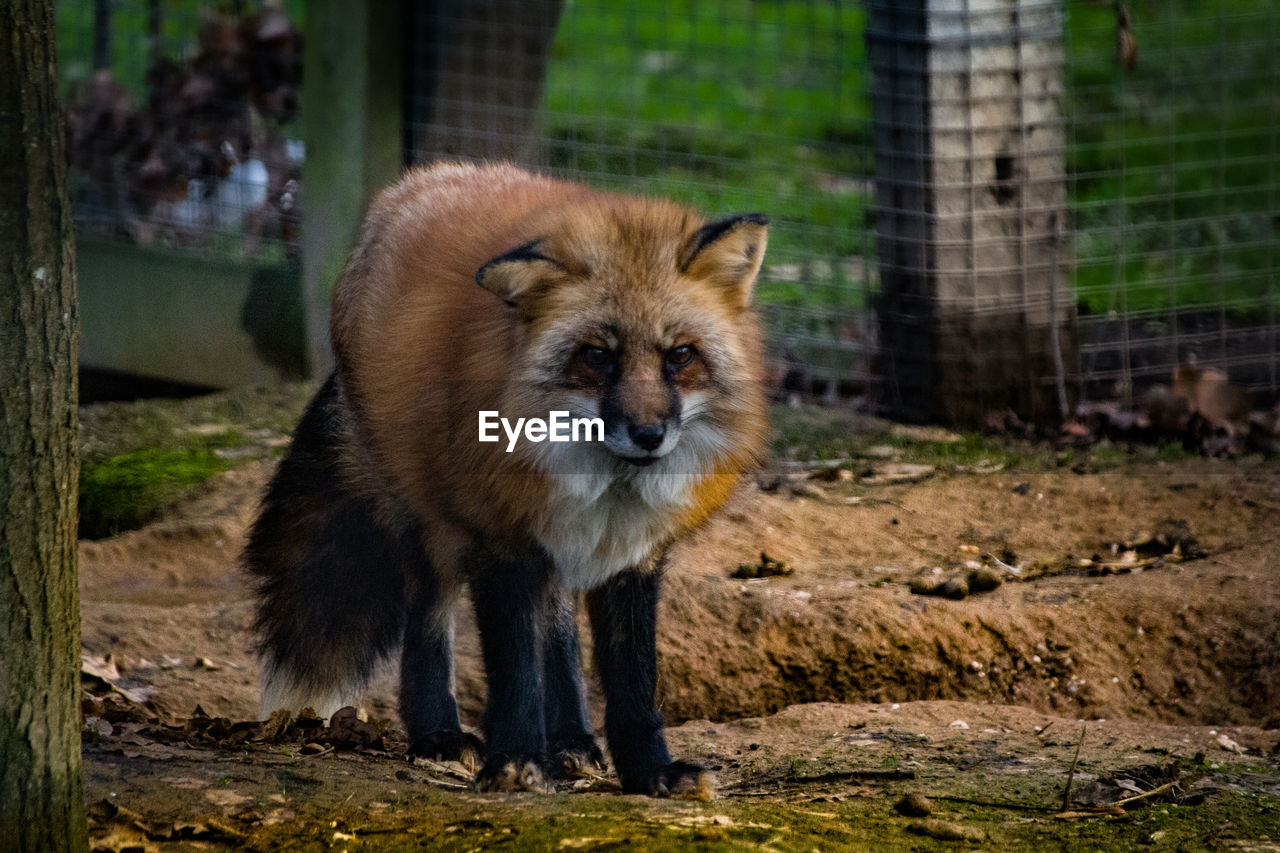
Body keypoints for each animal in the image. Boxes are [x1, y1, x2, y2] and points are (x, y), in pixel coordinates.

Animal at [247, 162, 768, 794]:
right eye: (598, 355)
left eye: (680, 356)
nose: (648, 434)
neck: (606, 488)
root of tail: (415, 184)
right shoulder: (501, 539)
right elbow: (516, 669)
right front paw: (517, 759)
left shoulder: (631, 554)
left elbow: (632, 683)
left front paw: (650, 771)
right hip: (429, 527)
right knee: (430, 623)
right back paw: (440, 735)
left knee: (559, 633)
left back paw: (570, 742)